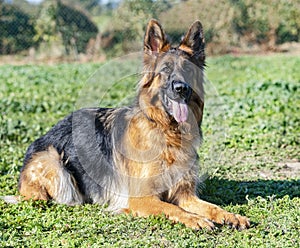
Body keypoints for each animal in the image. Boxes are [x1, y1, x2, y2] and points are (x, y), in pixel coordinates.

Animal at [16, 19, 250, 231]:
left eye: (187, 69)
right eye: (165, 70)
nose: (181, 88)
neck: (166, 131)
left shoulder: (185, 194)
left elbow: (211, 206)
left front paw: (231, 216)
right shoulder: (142, 198)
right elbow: (173, 208)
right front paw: (195, 219)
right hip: (54, 162)